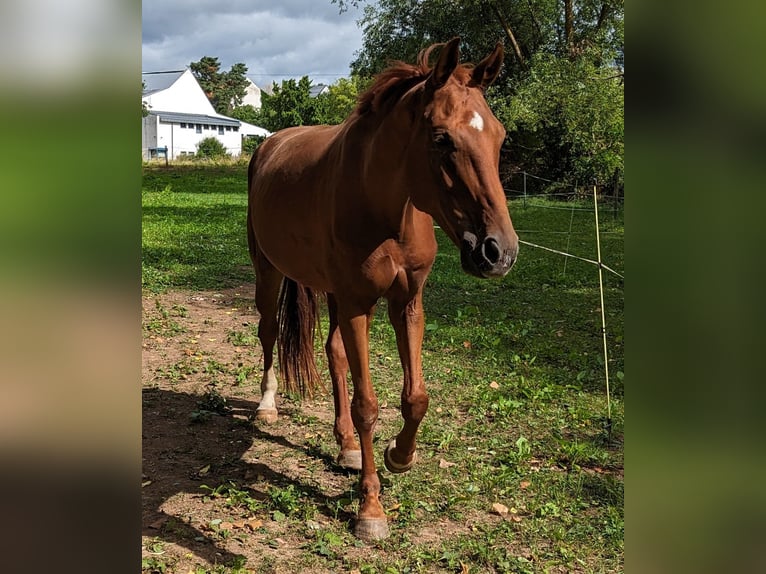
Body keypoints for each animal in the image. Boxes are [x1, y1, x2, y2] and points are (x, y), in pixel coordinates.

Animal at [249, 38, 520, 544]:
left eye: (500, 136)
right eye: (441, 139)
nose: (499, 251)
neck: (383, 205)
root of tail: (272, 142)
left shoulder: (405, 304)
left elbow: (416, 398)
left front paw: (399, 455)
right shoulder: (358, 305)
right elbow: (368, 405)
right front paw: (370, 507)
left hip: (336, 296)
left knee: (333, 352)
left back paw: (346, 447)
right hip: (270, 273)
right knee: (269, 333)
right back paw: (267, 406)